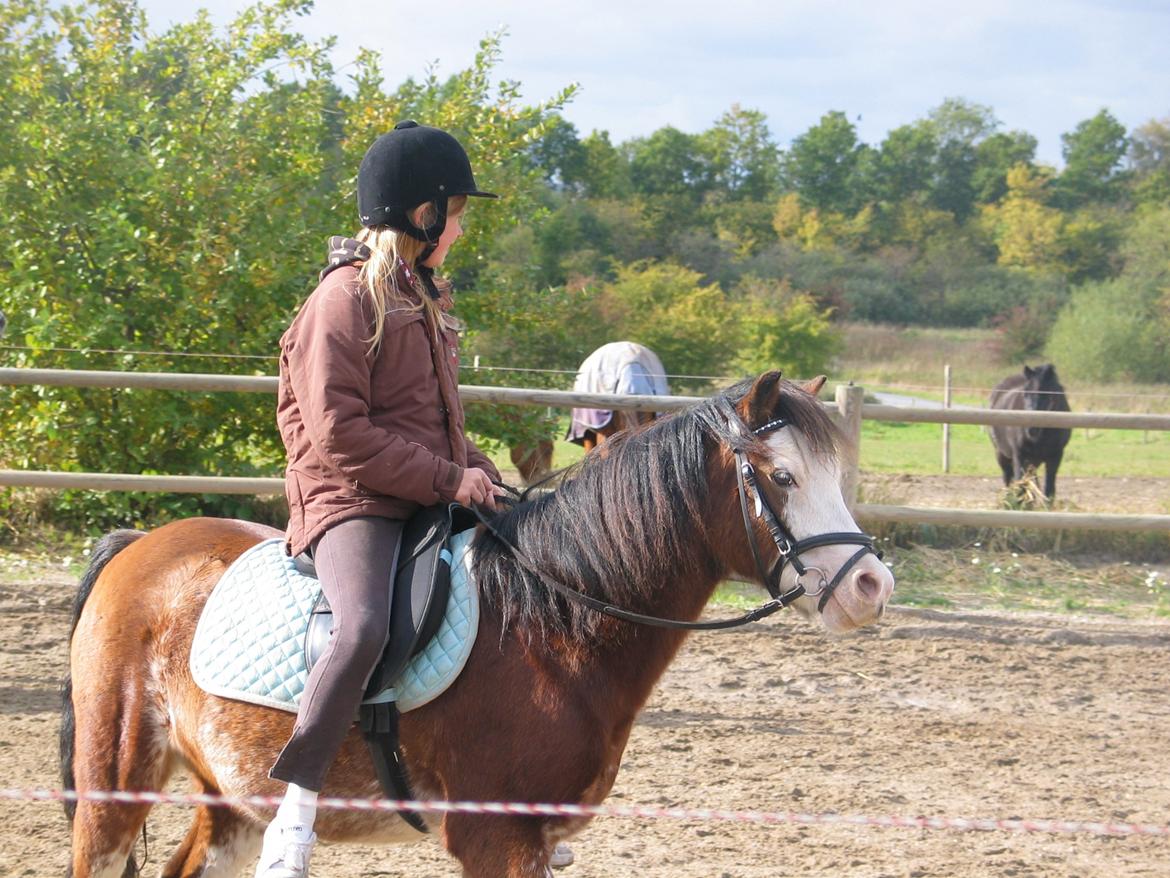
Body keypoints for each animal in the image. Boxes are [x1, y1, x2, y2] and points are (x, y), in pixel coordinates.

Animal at [60, 371, 894, 878]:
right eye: (782, 478)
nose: (871, 585)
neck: (554, 628)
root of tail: (141, 545)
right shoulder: (499, 838)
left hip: (228, 796)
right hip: (116, 785)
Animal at [989, 363, 1072, 501]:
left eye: (1046, 393)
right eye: (1025, 393)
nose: (1030, 428)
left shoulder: (1056, 456)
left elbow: (1049, 489)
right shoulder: (1019, 455)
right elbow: (1020, 485)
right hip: (1001, 454)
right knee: (1008, 479)